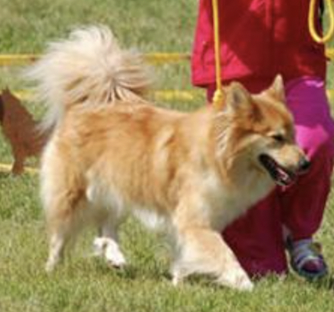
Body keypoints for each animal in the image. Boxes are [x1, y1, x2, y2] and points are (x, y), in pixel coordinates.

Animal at [27, 25, 310, 292]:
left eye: (293, 136)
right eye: (277, 138)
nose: (306, 164)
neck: (217, 154)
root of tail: (90, 102)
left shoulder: (190, 220)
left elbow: (184, 255)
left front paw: (177, 283)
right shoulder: (195, 221)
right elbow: (224, 254)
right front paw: (246, 286)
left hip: (121, 186)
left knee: (107, 225)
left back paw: (115, 257)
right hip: (73, 193)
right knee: (60, 235)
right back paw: (51, 269)